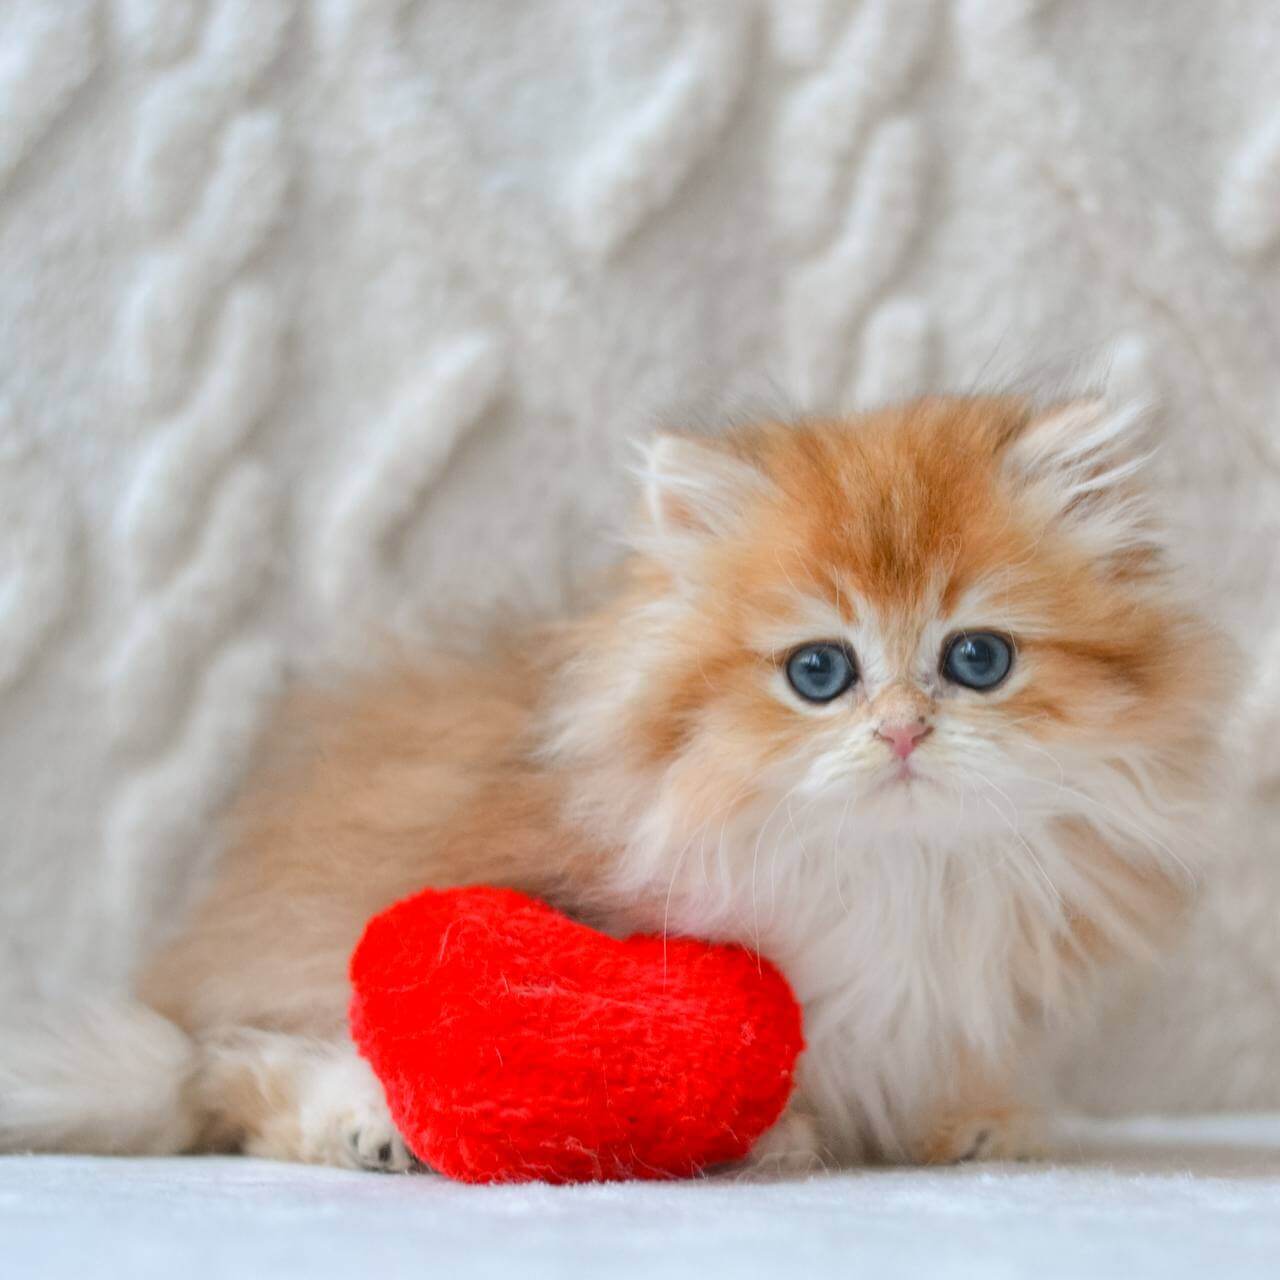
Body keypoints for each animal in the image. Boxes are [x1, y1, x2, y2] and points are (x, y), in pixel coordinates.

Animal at [0, 394, 1227, 1173]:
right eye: (818, 672)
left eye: (975, 658)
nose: (901, 731)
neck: (899, 869)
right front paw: (776, 1139)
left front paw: (970, 1122)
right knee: (234, 1076)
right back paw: (366, 1129)